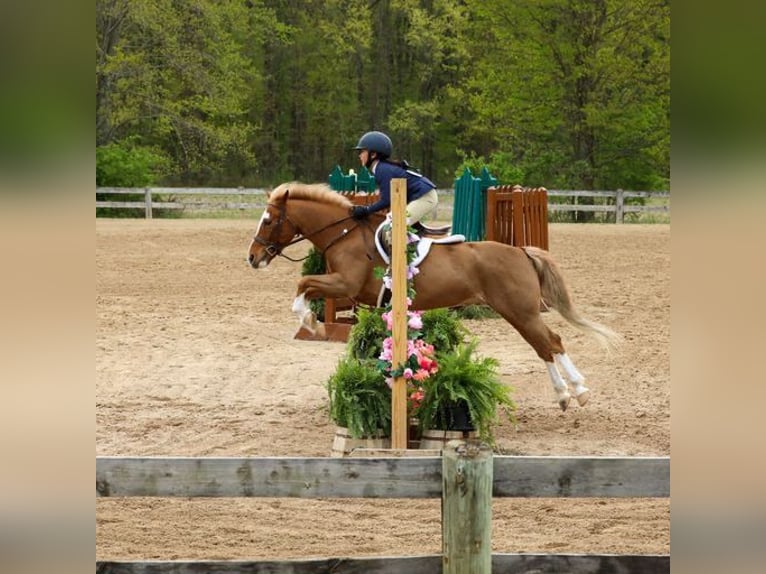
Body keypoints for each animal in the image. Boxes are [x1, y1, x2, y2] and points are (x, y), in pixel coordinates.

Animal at [249, 182, 620, 412]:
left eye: (268, 220)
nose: (252, 258)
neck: (344, 232)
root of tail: (520, 252)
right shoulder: (342, 286)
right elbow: (306, 285)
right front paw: (312, 322)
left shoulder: (344, 284)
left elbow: (304, 285)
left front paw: (311, 322)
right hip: (517, 313)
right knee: (546, 345)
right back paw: (567, 394)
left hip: (520, 312)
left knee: (551, 343)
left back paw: (577, 392)